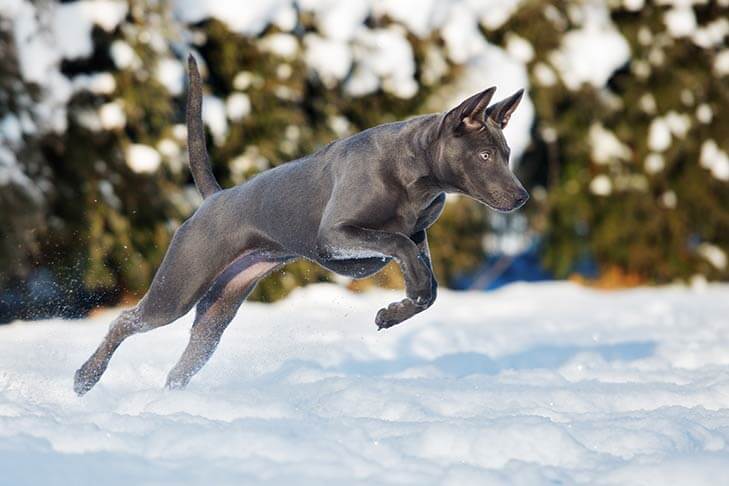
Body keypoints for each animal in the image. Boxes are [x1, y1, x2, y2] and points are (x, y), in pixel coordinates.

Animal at [74, 56, 528, 394]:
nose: (522, 196)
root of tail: (215, 198)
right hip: (179, 287)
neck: (417, 174)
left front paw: (393, 313)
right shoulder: (336, 236)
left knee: (182, 364)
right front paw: (408, 295)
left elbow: (425, 281)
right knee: (124, 321)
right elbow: (398, 248)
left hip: (217, 312)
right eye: (485, 155)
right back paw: (85, 378)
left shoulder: (419, 236)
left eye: (506, 153)